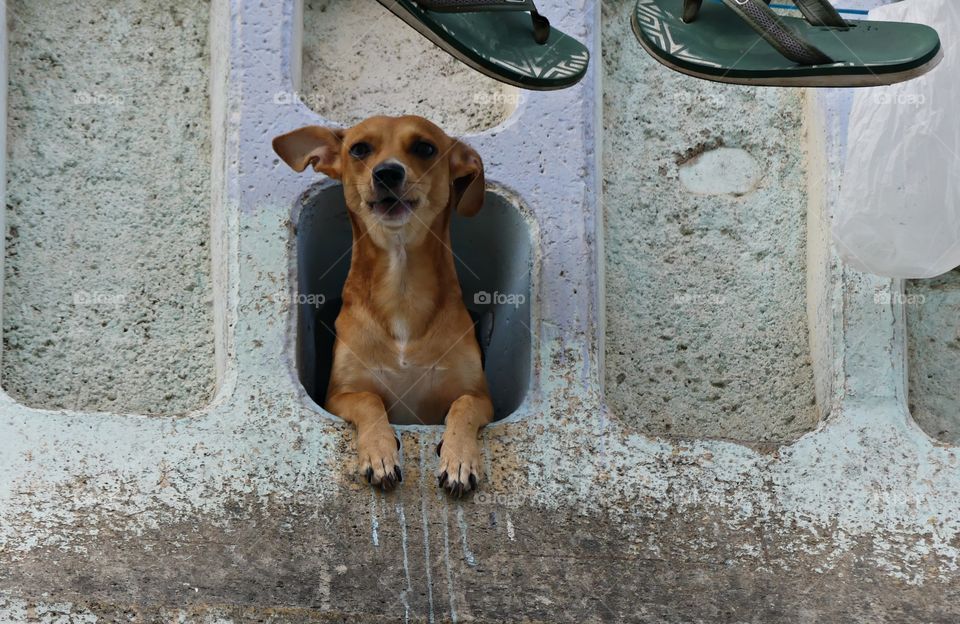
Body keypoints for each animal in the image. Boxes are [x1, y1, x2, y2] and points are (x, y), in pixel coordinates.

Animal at [272, 116, 492, 498]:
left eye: (425, 147)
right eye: (360, 149)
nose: (387, 172)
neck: (401, 287)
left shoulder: (482, 397)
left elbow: (463, 405)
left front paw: (460, 458)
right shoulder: (338, 396)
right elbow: (368, 400)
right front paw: (379, 452)